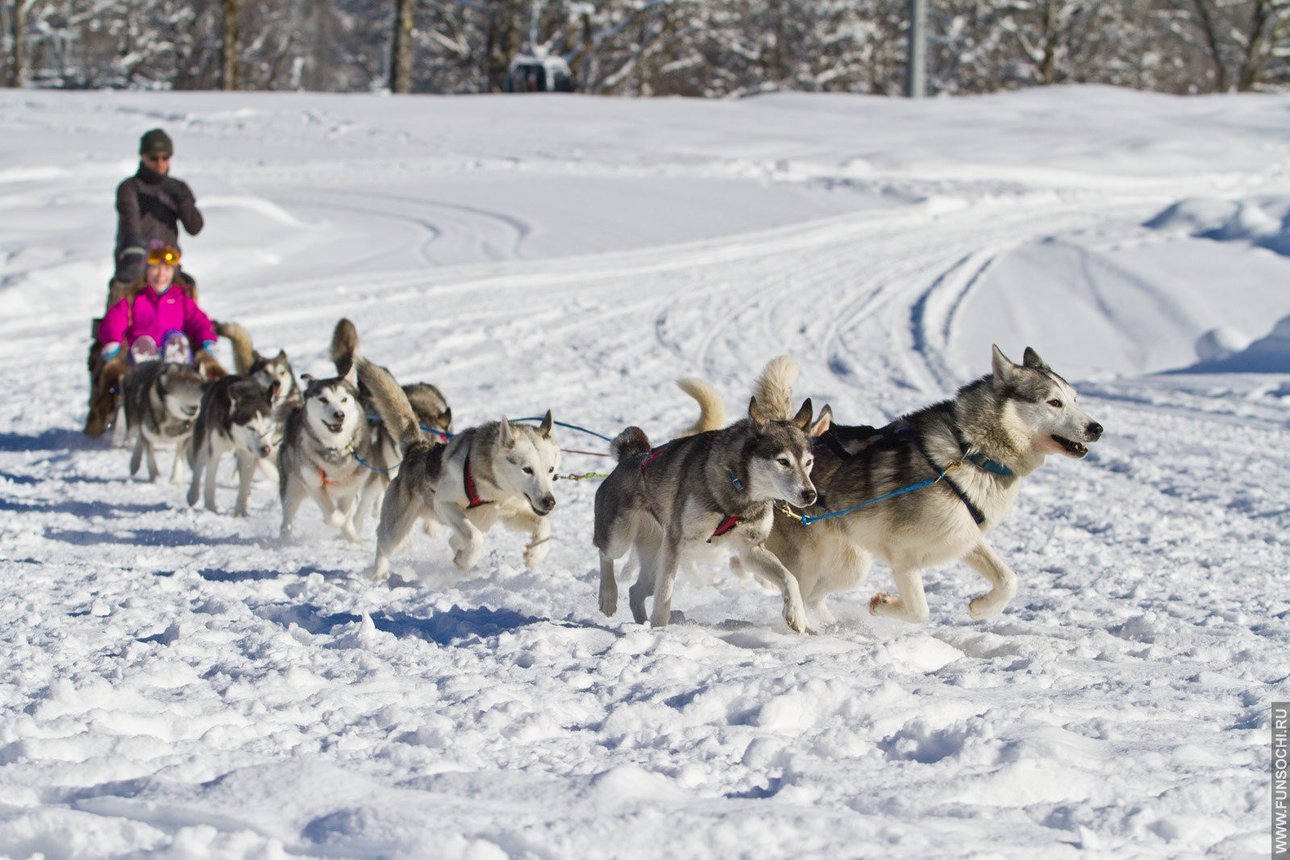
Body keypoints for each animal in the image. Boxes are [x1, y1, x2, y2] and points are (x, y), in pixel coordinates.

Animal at [184, 373, 277, 515]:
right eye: (251, 428)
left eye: (268, 428)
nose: (266, 449)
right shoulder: (214, 452)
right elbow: (210, 483)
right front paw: (211, 509)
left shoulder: (249, 456)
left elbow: (244, 485)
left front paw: (240, 513)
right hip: (202, 437)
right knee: (198, 468)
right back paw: (192, 495)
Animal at [273, 363, 371, 544]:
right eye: (323, 400)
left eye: (344, 399)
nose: (339, 414)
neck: (335, 448)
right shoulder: (313, 483)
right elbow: (334, 516)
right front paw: (331, 519)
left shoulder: (353, 484)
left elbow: (346, 511)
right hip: (292, 486)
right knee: (287, 518)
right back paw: (284, 538)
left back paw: (356, 542)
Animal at [358, 353, 554, 582]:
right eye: (527, 469)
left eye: (551, 470)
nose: (550, 501)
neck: (495, 490)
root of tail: (417, 447)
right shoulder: (445, 503)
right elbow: (474, 539)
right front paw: (465, 561)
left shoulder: (510, 513)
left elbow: (544, 525)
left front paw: (535, 554)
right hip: (397, 528)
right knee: (383, 543)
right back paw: (379, 573)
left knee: (455, 538)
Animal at [593, 355, 815, 631]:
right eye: (783, 461)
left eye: (808, 462)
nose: (810, 494)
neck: (737, 486)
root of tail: (633, 456)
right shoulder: (676, 542)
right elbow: (665, 595)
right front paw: (661, 629)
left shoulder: (750, 549)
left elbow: (789, 577)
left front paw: (796, 613)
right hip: (622, 536)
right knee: (605, 553)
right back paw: (608, 597)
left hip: (655, 551)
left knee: (637, 591)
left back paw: (641, 622)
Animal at [758, 345, 1104, 629]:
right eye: (1054, 402)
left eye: (1075, 400)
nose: (1097, 428)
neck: (971, 452)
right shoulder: (903, 558)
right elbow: (919, 611)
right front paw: (883, 604)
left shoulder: (964, 535)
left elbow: (1009, 580)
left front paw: (982, 607)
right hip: (809, 563)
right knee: (799, 591)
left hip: (850, 564)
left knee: (815, 596)